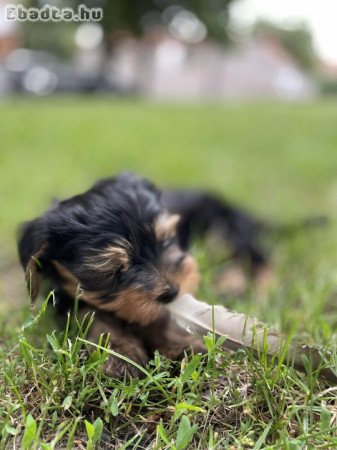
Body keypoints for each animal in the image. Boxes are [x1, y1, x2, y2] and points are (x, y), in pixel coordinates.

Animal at [18, 172, 205, 380]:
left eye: (165, 242)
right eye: (113, 271)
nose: (172, 292)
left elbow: (160, 317)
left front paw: (183, 345)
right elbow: (97, 319)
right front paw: (121, 356)